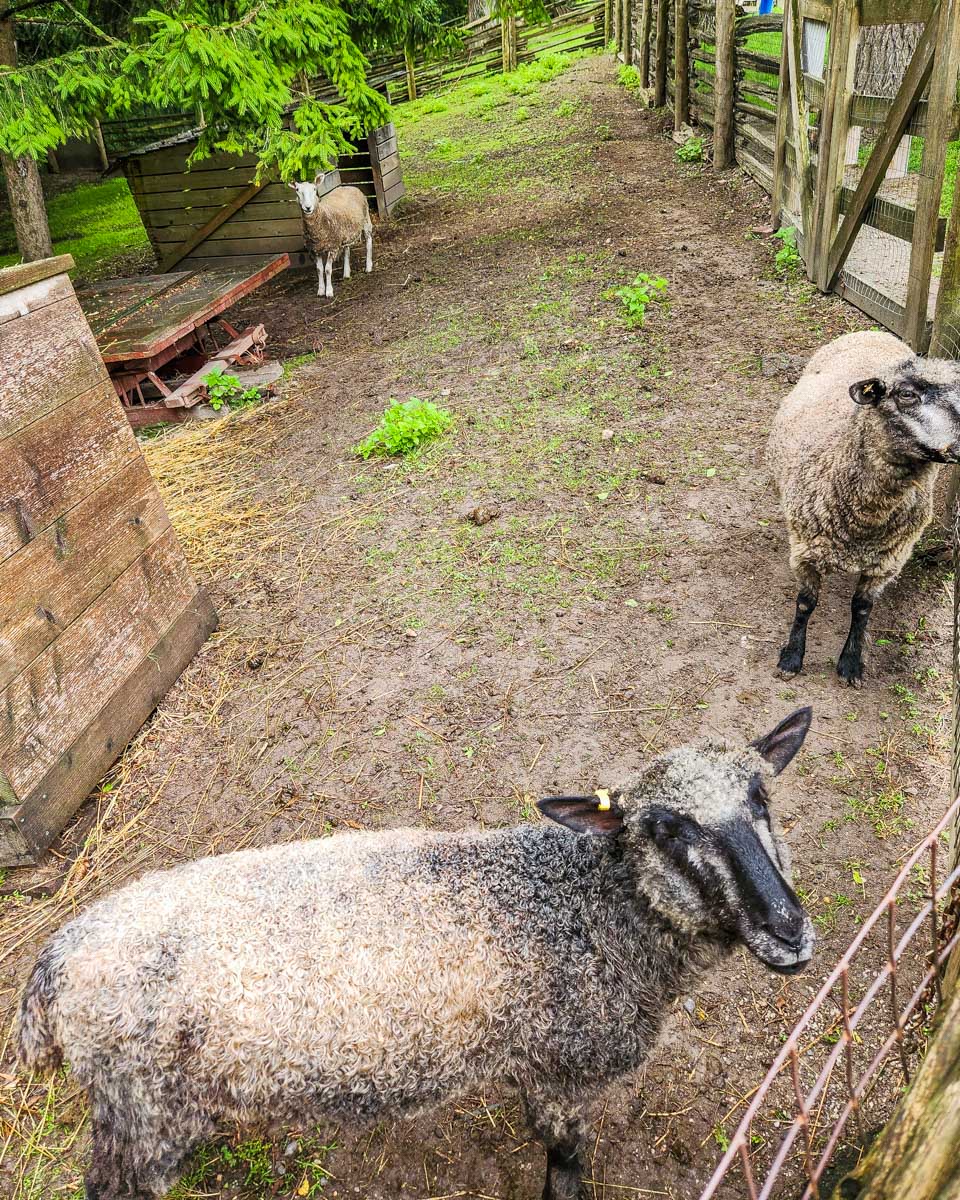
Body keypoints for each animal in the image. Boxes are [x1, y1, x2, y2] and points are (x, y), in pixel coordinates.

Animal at [18, 707, 814, 1200]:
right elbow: (565, 1165)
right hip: (140, 1106)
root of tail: (53, 963)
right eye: (666, 829)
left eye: (761, 797)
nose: (788, 929)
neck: (588, 908)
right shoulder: (562, 1071)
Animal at [767, 329, 960, 688]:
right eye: (906, 394)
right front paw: (791, 657)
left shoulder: (887, 561)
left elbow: (861, 609)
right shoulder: (806, 551)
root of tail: (875, 331)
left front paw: (851, 664)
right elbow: (805, 604)